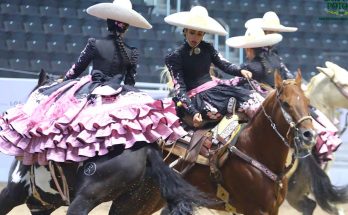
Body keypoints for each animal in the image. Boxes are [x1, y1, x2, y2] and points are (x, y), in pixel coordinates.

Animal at [109, 71, 318, 215]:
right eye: (285, 104)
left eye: (308, 102)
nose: (309, 135)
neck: (255, 151)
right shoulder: (253, 210)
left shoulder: (272, 209)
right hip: (135, 199)